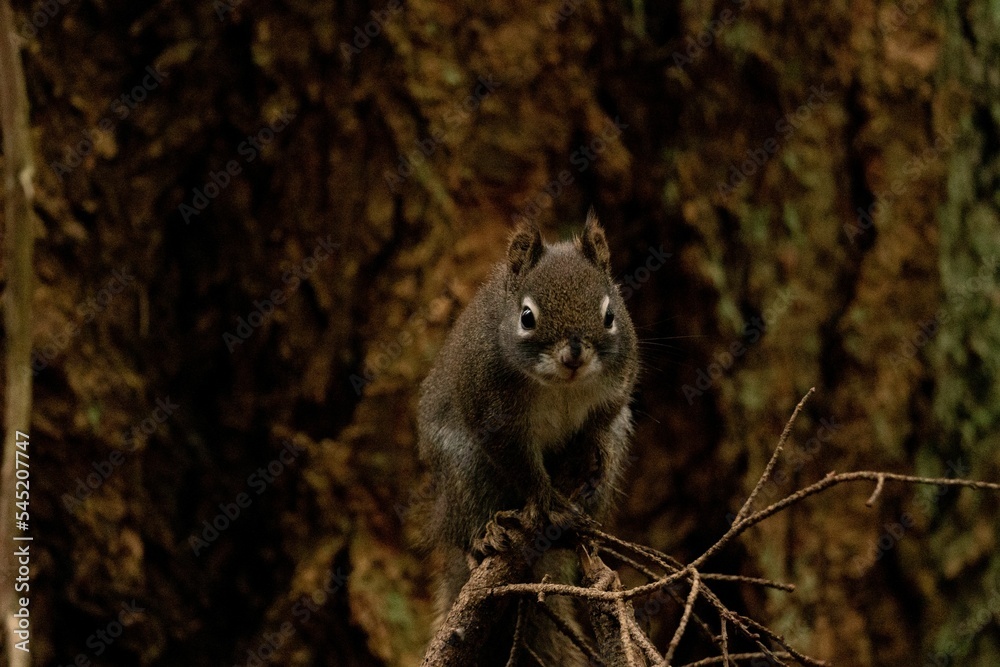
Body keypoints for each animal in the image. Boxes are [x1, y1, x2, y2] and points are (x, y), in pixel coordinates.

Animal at [417, 208, 639, 640]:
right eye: (526, 316)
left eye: (610, 315)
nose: (574, 355)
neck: (561, 387)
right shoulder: (494, 414)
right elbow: (517, 460)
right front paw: (546, 499)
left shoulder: (617, 388)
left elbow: (602, 421)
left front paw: (593, 449)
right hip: (465, 469)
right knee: (466, 521)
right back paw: (486, 536)